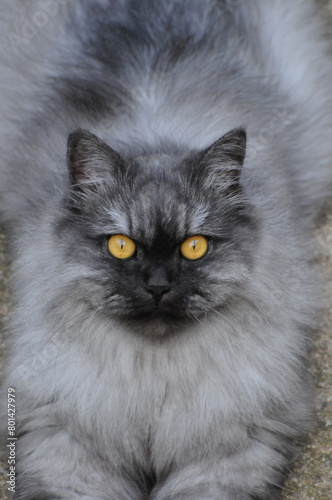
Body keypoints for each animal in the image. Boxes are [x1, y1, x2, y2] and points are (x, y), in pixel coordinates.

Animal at [0, 0, 330, 500]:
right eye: (121, 246)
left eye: (194, 247)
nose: (157, 286)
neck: (153, 379)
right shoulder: (69, 443)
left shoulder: (226, 451)